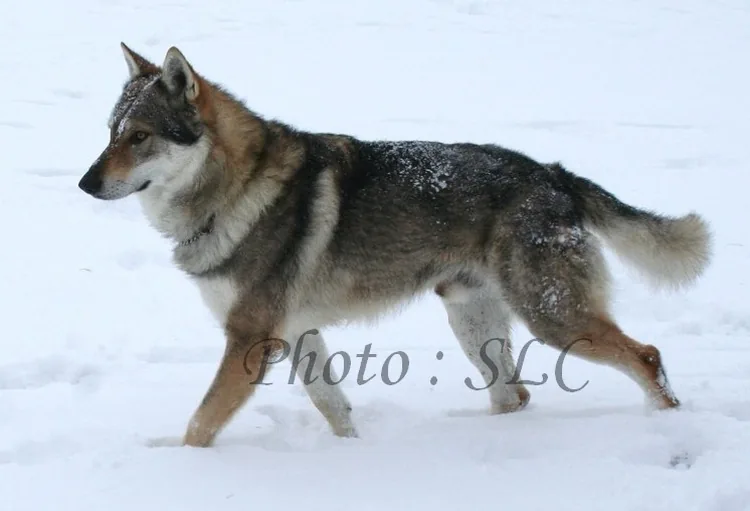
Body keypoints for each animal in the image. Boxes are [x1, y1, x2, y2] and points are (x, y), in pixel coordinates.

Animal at [78, 44, 712, 447]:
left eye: (140, 137)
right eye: (110, 134)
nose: (84, 184)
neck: (236, 188)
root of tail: (554, 174)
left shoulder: (251, 342)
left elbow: (200, 425)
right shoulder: (298, 333)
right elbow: (333, 408)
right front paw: (354, 455)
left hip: (553, 319)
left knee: (646, 356)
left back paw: (668, 429)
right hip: (475, 323)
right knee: (516, 397)